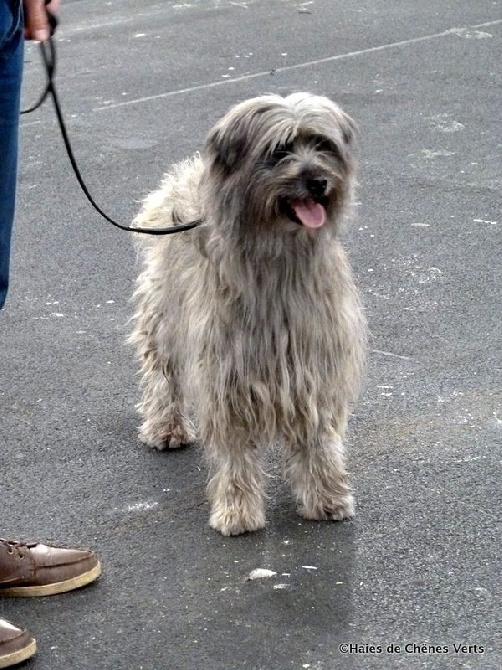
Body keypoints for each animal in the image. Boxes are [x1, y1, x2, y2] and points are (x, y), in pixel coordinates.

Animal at [129, 92, 364, 540]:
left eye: (322, 144)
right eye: (280, 150)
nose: (318, 182)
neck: (278, 256)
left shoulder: (313, 362)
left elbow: (318, 436)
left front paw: (327, 495)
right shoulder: (227, 370)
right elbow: (234, 447)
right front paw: (237, 508)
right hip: (165, 316)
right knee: (163, 374)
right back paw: (165, 426)